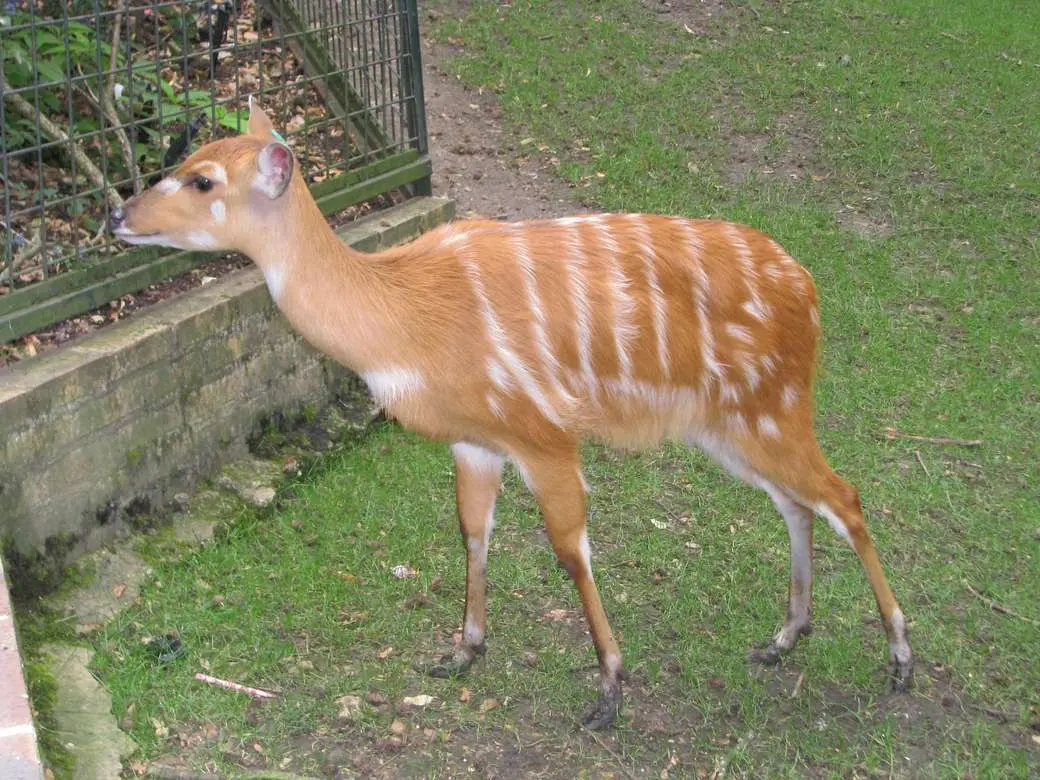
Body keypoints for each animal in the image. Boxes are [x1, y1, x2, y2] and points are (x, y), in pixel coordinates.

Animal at [109, 100, 915, 732]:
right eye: (188, 158)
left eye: (204, 179)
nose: (117, 214)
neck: (407, 320)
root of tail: (807, 289)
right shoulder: (476, 441)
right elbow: (472, 532)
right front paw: (460, 652)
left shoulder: (544, 433)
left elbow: (570, 549)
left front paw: (609, 691)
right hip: (729, 426)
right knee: (797, 503)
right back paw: (783, 637)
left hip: (771, 407)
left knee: (844, 496)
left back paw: (901, 659)